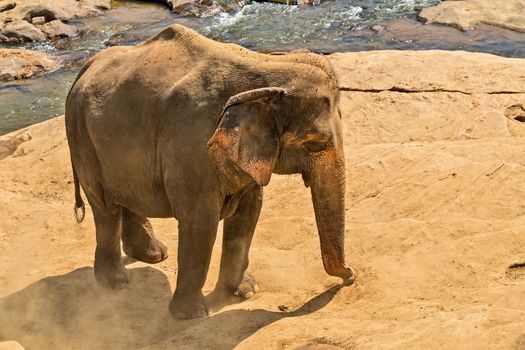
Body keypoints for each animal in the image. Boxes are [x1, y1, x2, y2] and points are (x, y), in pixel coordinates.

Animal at [63, 23, 354, 318]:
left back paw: (154, 255)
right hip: (81, 138)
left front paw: (244, 291)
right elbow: (200, 221)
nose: (351, 276)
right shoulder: (191, 148)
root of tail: (86, 66)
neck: (264, 65)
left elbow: (248, 212)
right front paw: (192, 314)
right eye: (315, 143)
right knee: (105, 207)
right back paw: (116, 283)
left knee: (125, 196)